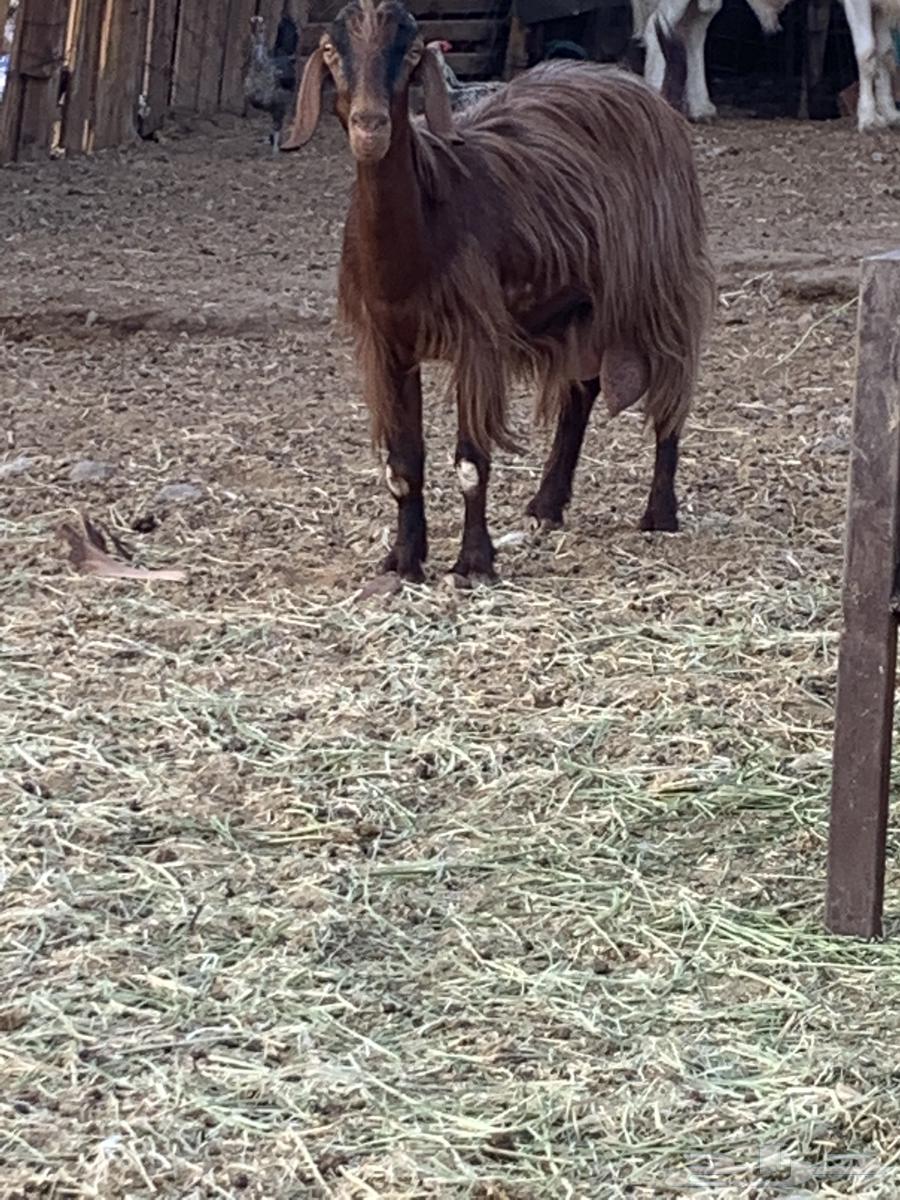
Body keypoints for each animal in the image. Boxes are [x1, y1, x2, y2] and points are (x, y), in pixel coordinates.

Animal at [282, 1, 715, 584]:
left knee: (673, 385)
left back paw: (659, 513)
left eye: (412, 52)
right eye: (331, 50)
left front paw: (473, 563)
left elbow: (470, 462)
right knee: (582, 390)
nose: (370, 126)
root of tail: (643, 90)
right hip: (579, 301)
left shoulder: (476, 336)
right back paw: (546, 505)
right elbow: (402, 464)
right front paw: (404, 560)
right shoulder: (388, 343)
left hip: (660, 281)